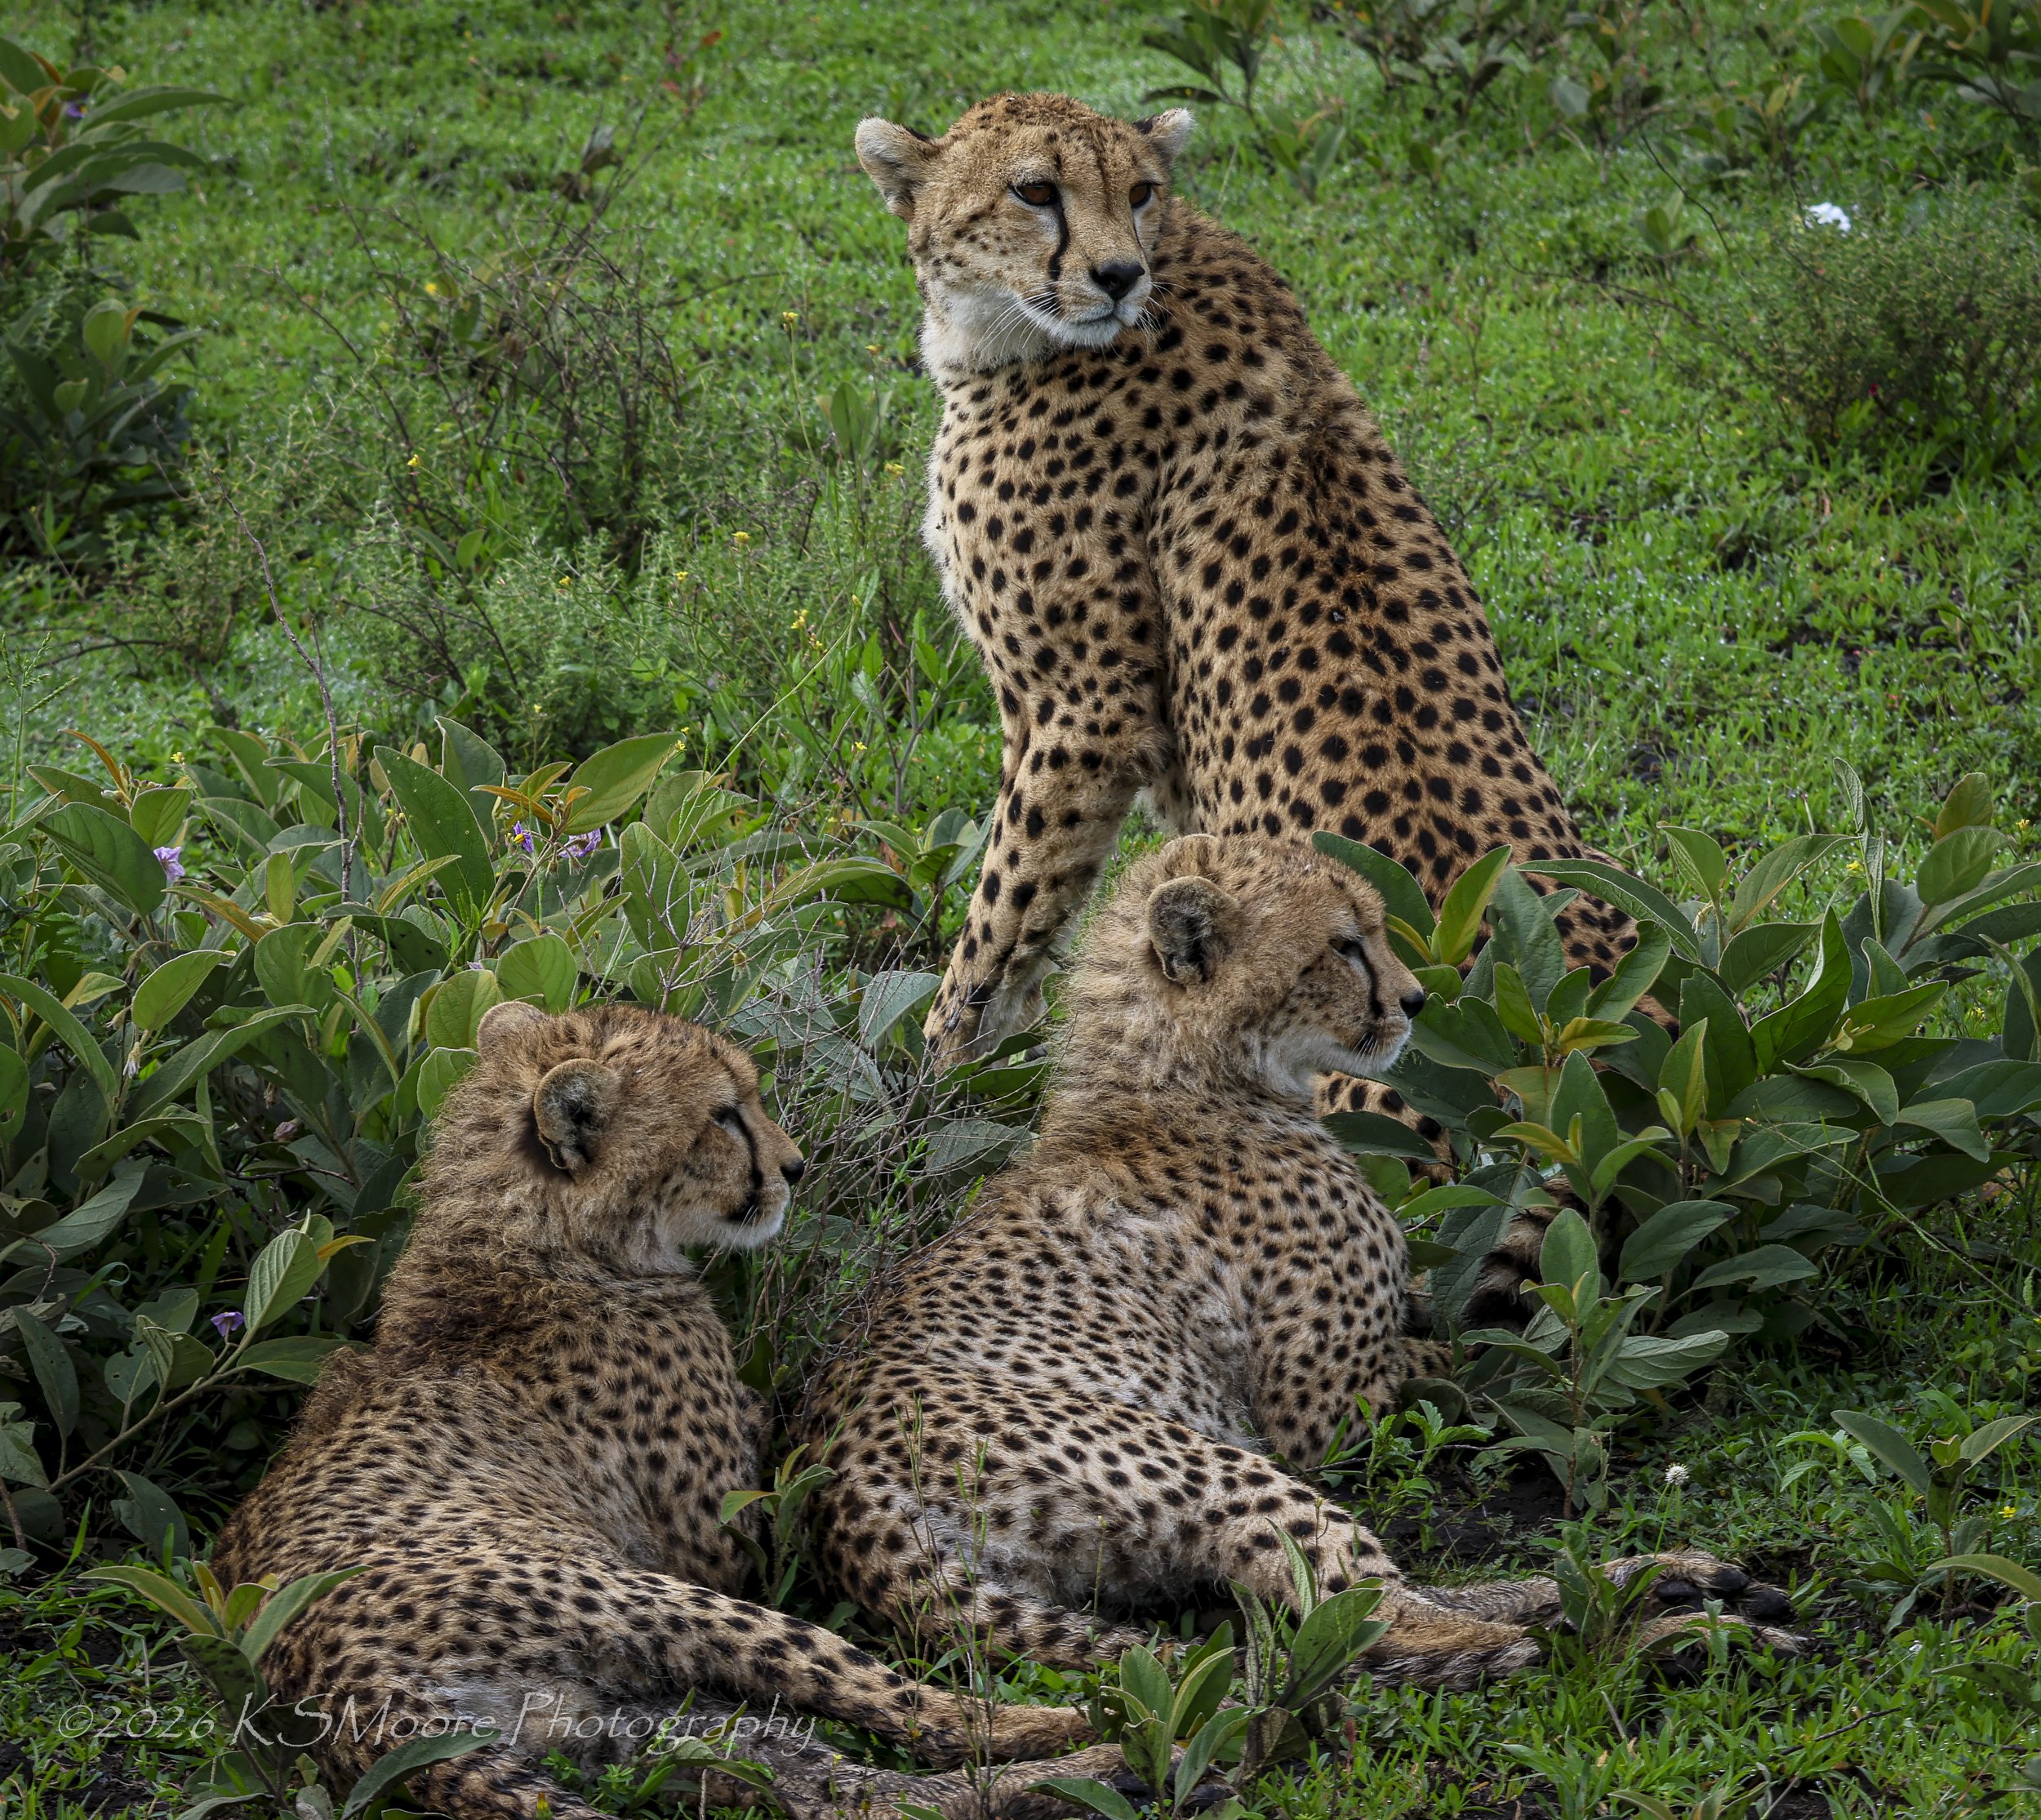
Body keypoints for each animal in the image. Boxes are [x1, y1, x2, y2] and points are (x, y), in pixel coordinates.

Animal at [211, 1000, 1131, 1820]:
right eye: (723, 1115)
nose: (795, 1168)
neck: (531, 1240)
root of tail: (332, 1683)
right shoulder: (717, 1547)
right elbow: (778, 1446)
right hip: (655, 1602)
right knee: (916, 1711)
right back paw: (1081, 1717)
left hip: (611, 1723)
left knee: (852, 1793)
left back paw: (1091, 1770)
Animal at [795, 834, 1799, 1684]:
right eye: (1345, 946)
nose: (1416, 1002)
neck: (1179, 1077)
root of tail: (841, 1499)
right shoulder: (1323, 1416)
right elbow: (1473, 1358)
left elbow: (1461, 1315)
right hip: (1208, 1460)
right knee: (1382, 1623)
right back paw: (1629, 1629)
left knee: (1387, 1608)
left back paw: (1659, 1585)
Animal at [852, 91, 1649, 1152]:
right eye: (1034, 190)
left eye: (1139, 191)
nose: (1117, 275)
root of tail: (1565, 1070)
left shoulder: (1082, 712)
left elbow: (1004, 912)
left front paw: (933, 1089)